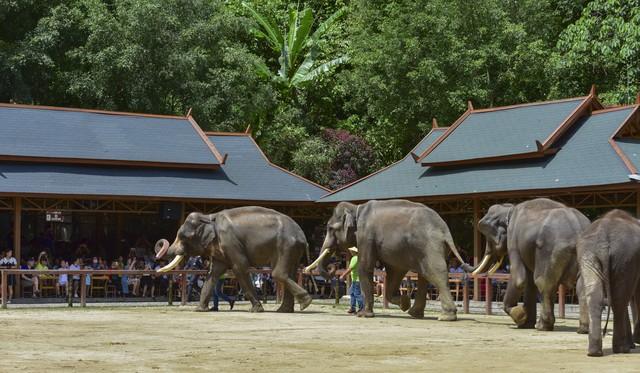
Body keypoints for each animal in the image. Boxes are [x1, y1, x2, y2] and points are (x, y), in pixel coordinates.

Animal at [156, 208, 314, 312]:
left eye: (184, 237)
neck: (209, 216)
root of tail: (303, 236)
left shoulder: (230, 241)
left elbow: (240, 268)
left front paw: (256, 310)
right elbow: (213, 273)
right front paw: (199, 310)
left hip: (285, 245)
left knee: (278, 273)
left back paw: (305, 303)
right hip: (292, 249)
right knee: (290, 273)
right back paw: (285, 310)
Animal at [302, 199, 472, 318]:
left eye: (330, 228)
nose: (334, 268)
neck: (356, 208)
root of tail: (444, 229)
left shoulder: (366, 236)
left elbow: (365, 267)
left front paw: (364, 315)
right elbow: (395, 272)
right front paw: (404, 302)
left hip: (430, 246)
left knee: (436, 273)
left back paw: (446, 316)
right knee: (424, 275)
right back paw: (414, 313)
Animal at [470, 198, 592, 332]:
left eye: (488, 238)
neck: (510, 208)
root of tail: (577, 231)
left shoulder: (513, 239)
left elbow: (519, 279)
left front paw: (520, 316)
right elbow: (529, 281)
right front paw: (525, 324)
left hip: (550, 251)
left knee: (543, 283)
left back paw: (542, 326)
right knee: (583, 286)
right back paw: (583, 329)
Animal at [576, 208, 640, 356]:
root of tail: (604, 238)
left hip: (588, 253)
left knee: (595, 297)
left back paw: (594, 352)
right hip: (626, 258)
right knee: (620, 299)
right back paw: (622, 349)